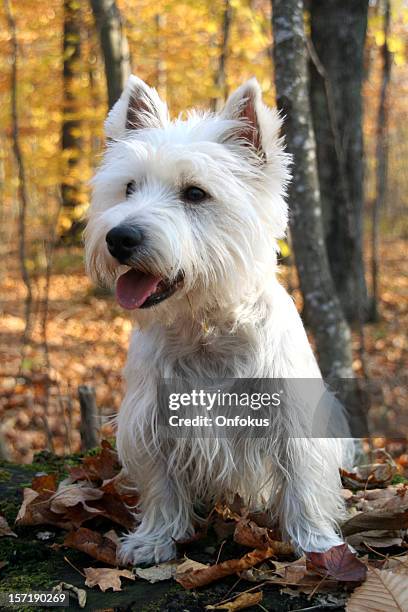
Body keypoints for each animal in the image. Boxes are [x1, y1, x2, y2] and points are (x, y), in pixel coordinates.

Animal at [85, 75, 350, 564]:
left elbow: (302, 482)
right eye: (128, 188)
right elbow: (161, 485)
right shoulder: (152, 420)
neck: (205, 327)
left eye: (195, 193)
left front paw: (317, 544)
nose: (119, 237)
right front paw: (155, 539)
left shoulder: (291, 419)